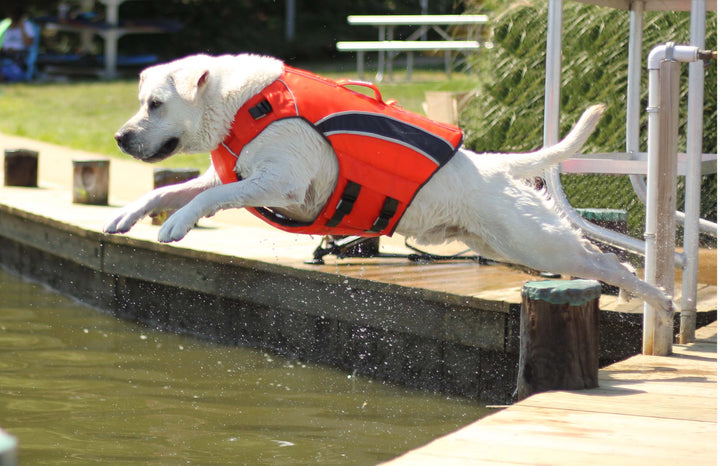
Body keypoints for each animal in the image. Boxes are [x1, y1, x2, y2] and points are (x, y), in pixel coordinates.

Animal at [104, 53, 672, 314]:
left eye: (155, 104)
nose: (120, 136)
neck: (241, 103)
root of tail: (496, 167)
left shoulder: (281, 181)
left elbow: (212, 194)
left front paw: (177, 224)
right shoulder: (228, 171)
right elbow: (168, 188)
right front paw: (128, 214)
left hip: (536, 242)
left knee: (605, 260)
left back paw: (658, 296)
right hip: (504, 243)